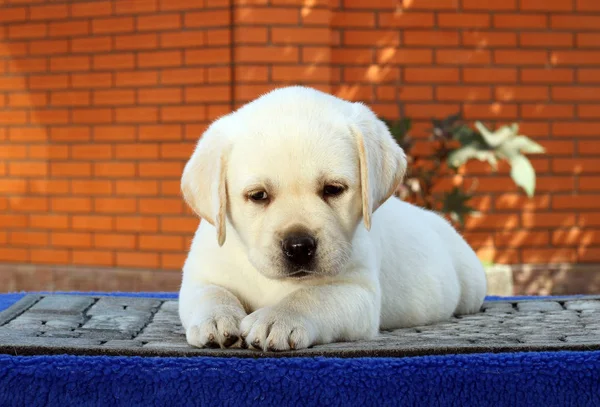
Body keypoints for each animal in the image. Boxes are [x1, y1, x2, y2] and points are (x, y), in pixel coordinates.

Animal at [178, 85, 488, 350]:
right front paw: (217, 320)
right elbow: (212, 293)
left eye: (333, 189)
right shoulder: (200, 276)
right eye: (258, 195)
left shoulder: (356, 291)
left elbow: (311, 297)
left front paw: (278, 319)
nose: (298, 247)